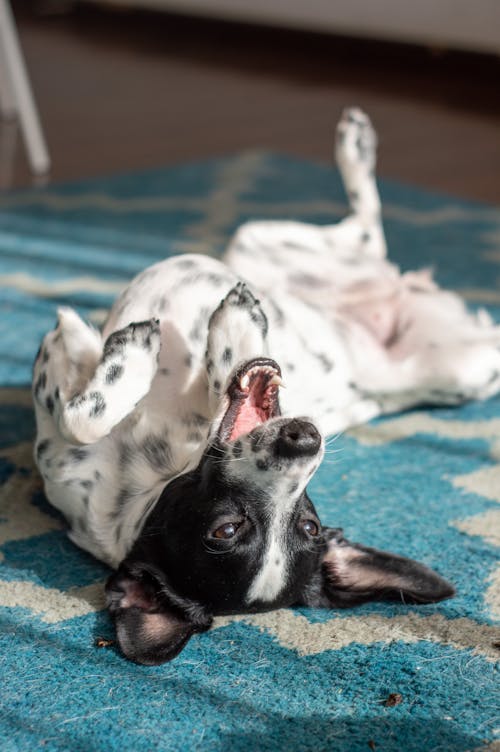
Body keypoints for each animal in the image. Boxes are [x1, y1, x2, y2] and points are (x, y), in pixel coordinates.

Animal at [32, 107, 500, 664]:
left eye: (308, 526)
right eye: (226, 530)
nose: (305, 439)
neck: (148, 466)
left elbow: (91, 409)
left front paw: (202, 334)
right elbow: (80, 410)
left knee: (366, 231)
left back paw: (354, 143)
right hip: (274, 249)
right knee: (367, 235)